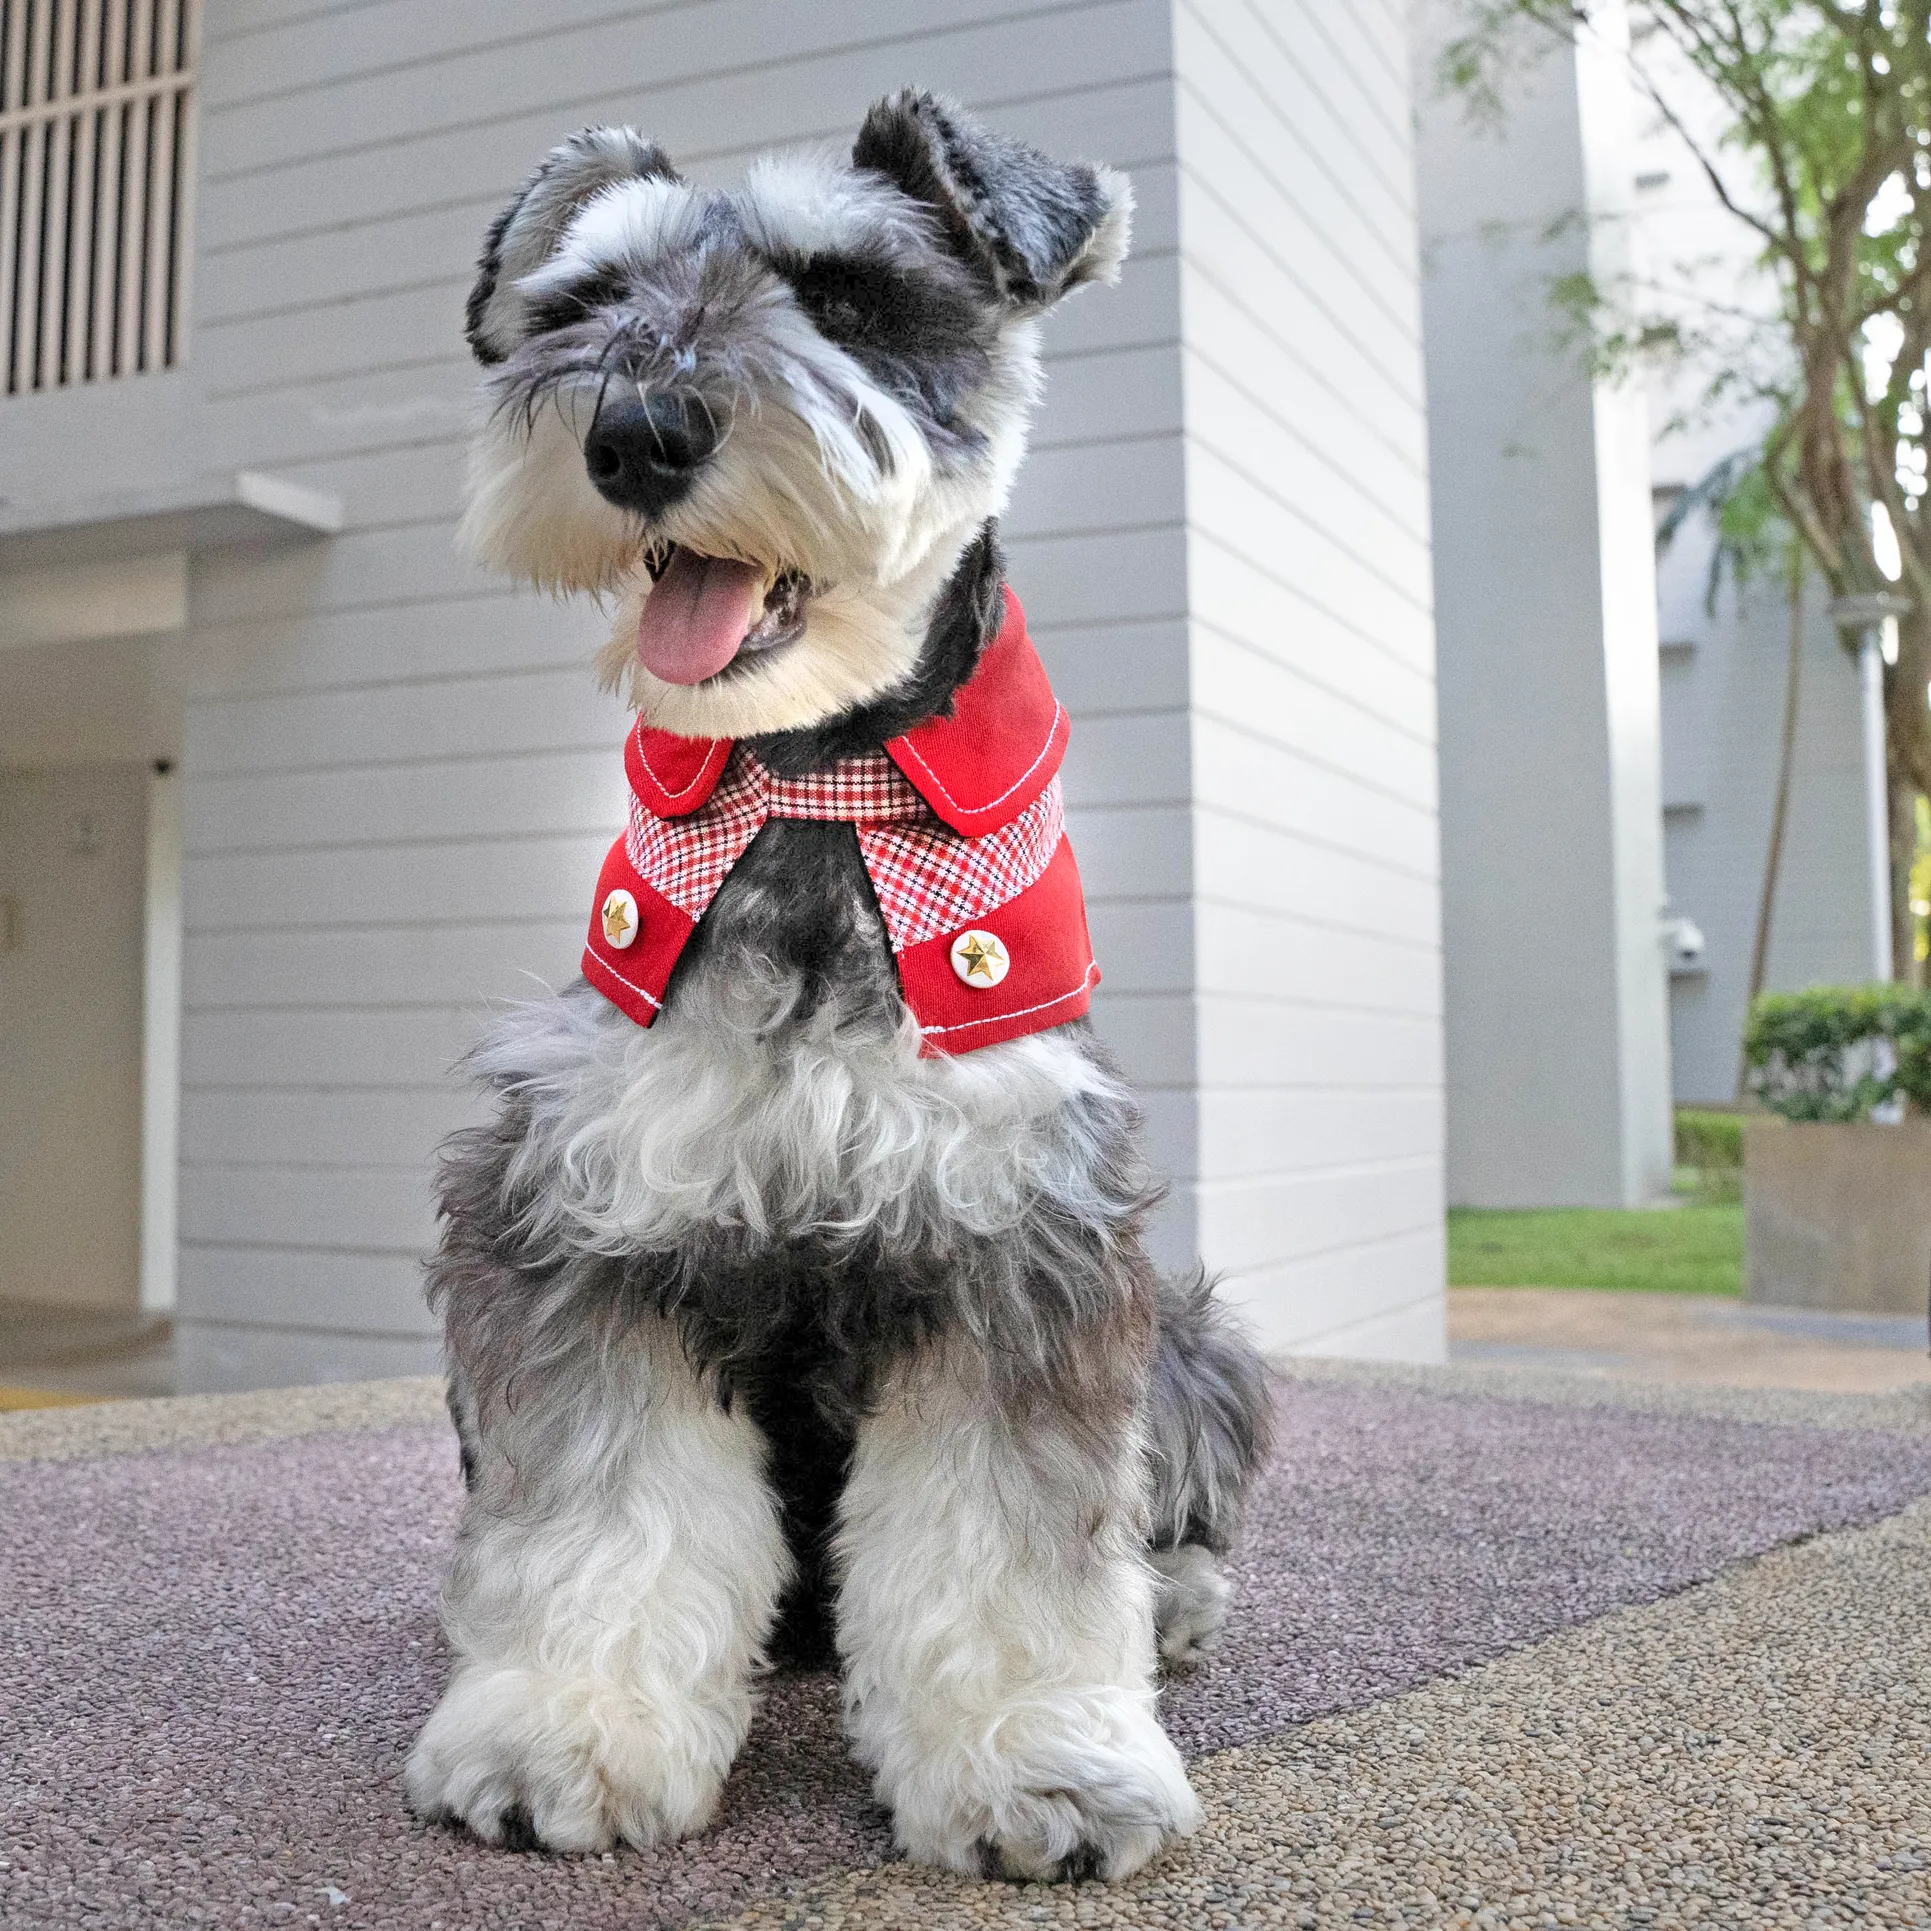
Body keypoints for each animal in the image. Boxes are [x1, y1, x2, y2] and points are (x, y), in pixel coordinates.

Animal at [401, 90, 1274, 1884]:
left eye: (851, 294)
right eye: (587, 301)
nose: (635, 432)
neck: (809, 786)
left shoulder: (1024, 1238)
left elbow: (1012, 1536)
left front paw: (1039, 1762)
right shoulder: (578, 1221)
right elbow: (602, 1506)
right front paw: (561, 1729)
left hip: (1194, 1342)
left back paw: (1174, 1599)